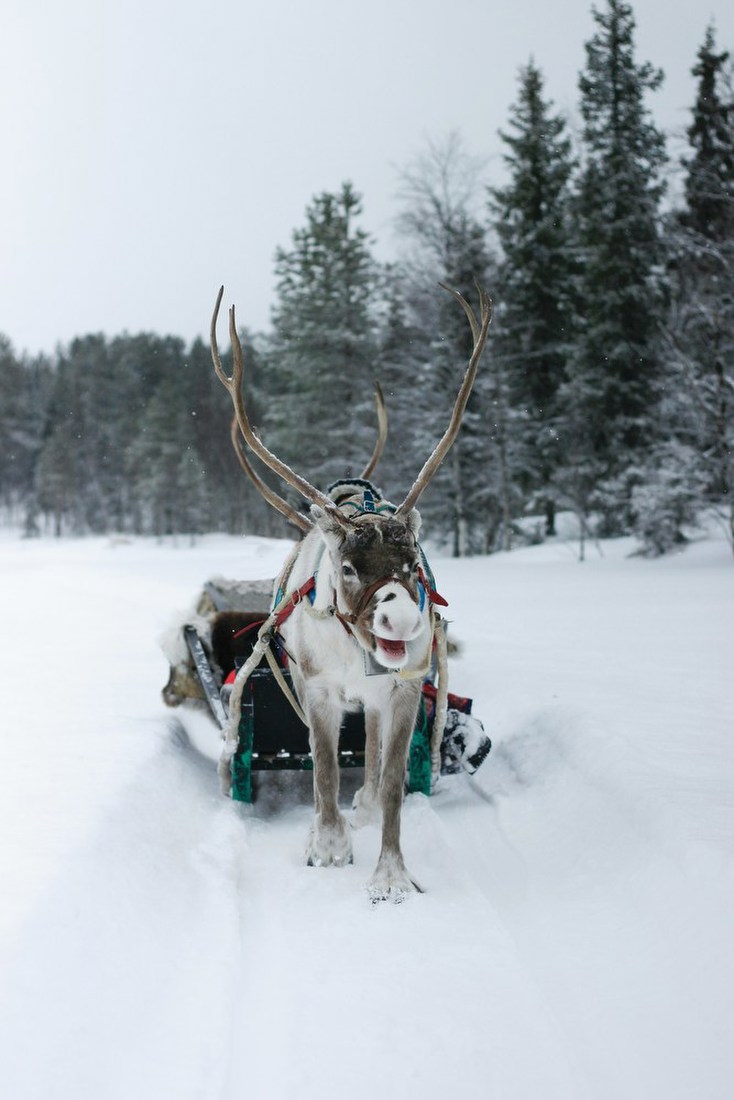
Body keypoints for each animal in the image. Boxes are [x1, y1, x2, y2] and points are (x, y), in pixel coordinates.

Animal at [210, 283, 491, 902]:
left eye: (411, 563)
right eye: (348, 567)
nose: (402, 623)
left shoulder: (404, 690)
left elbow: (390, 781)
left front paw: (390, 875)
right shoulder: (316, 689)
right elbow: (323, 769)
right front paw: (328, 846)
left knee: (375, 752)